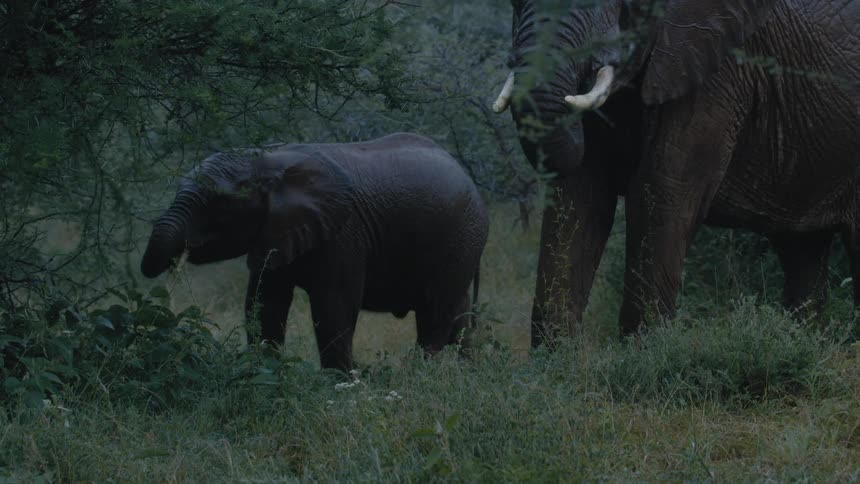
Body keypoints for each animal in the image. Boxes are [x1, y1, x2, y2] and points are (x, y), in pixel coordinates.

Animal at [140, 132, 489, 372]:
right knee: (458, 314)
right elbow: (265, 302)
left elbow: (334, 305)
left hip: (459, 238)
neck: (269, 160)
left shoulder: (344, 232)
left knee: (436, 312)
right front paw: (264, 369)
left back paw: (421, 374)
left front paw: (342, 382)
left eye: (220, 203)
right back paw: (466, 371)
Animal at [492, 0, 860, 346]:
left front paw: (644, 354)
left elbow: (660, 190)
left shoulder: (717, 70)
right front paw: (555, 362)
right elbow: (581, 195)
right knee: (802, 249)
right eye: (514, 2)